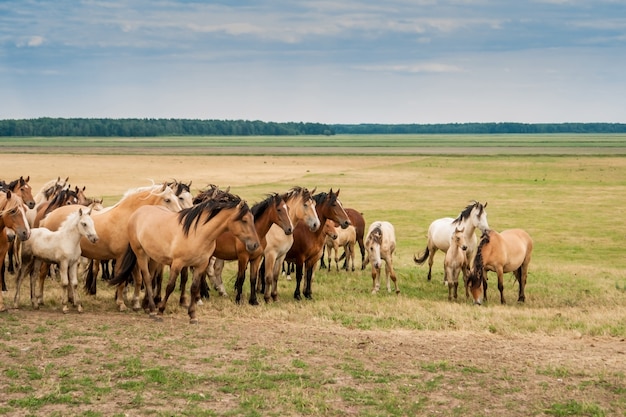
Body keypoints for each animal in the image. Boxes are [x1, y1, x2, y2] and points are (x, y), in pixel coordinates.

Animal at [38, 183, 182, 308]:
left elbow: (138, 279)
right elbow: (122, 281)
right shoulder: (121, 258)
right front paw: (121, 303)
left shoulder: (135, 259)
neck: (128, 219)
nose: (180, 215)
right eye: (168, 200)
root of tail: (48, 216)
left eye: (177, 198)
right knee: (43, 273)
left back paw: (71, 299)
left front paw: (135, 303)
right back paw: (40, 299)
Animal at [107, 188, 258, 322]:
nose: (255, 245)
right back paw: (152, 309)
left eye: (252, 219)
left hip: (154, 257)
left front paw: (192, 315)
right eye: (244, 220)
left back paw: (146, 306)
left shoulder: (201, 265)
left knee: (151, 278)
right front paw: (161, 311)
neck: (198, 233)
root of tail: (137, 213)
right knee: (148, 279)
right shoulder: (177, 264)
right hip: (141, 254)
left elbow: (194, 288)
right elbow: (170, 286)